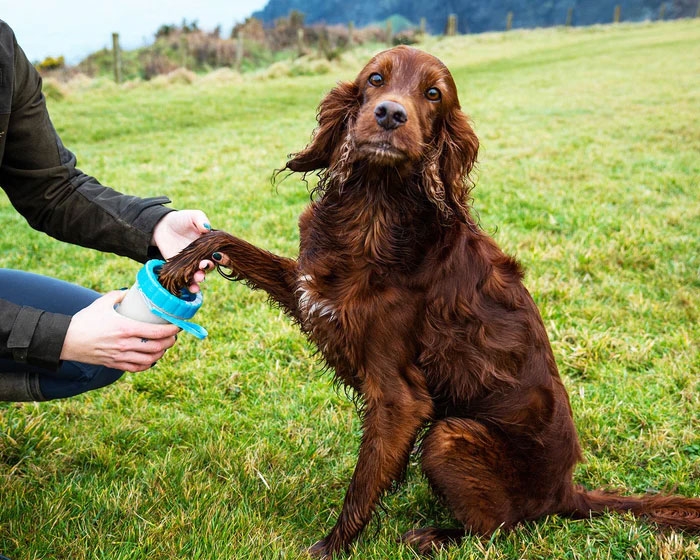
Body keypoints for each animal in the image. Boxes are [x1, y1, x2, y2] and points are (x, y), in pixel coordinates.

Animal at [160, 47, 700, 556]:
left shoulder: (400, 398)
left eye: (434, 94)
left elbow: (363, 486)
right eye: (375, 79)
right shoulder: (311, 293)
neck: (374, 212)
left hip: (448, 437)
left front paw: (331, 547)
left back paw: (435, 535)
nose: (389, 114)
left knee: (499, 529)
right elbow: (234, 245)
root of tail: (568, 492)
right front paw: (182, 261)